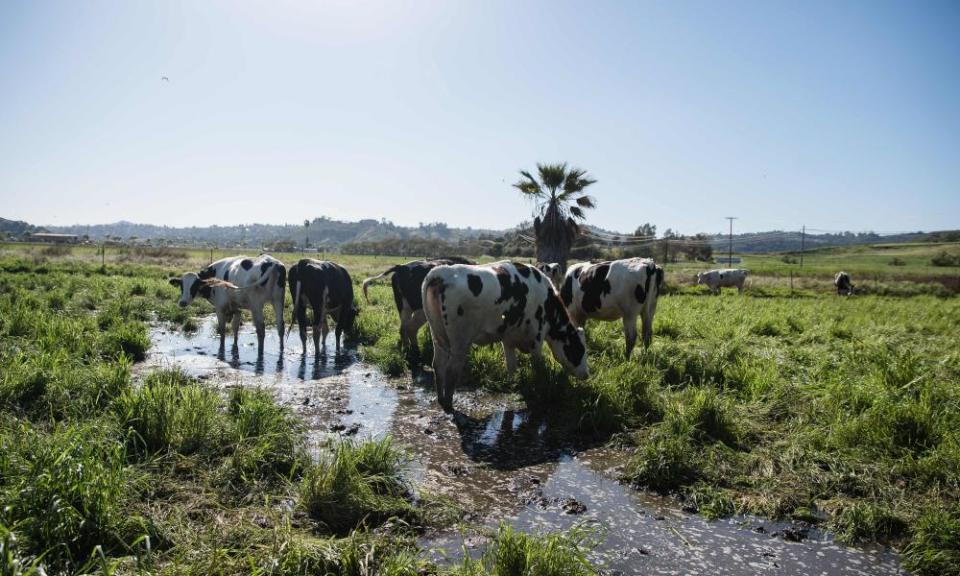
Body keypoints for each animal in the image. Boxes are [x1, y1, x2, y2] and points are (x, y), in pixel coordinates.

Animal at [424, 258, 588, 412]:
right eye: (579, 350)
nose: (587, 375)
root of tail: (443, 272)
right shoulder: (537, 337)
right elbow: (538, 366)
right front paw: (540, 387)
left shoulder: (508, 339)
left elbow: (511, 366)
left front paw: (513, 384)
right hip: (460, 340)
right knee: (451, 369)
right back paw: (448, 404)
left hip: (437, 335)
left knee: (438, 364)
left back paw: (441, 399)